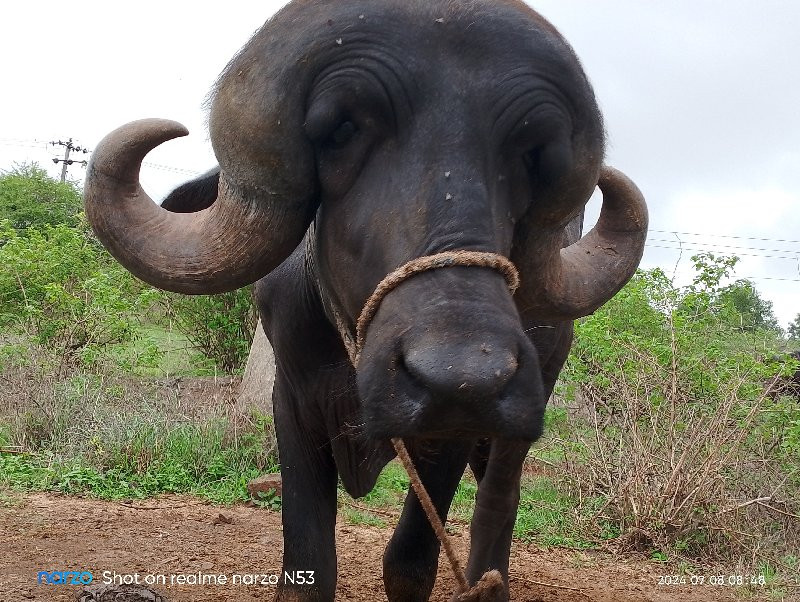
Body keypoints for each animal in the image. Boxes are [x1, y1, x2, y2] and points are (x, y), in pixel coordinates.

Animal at [83, 1, 644, 600]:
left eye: (531, 156)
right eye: (343, 129)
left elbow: (410, 563)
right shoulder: (293, 406)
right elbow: (307, 568)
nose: (463, 375)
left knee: (499, 501)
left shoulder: (450, 435)